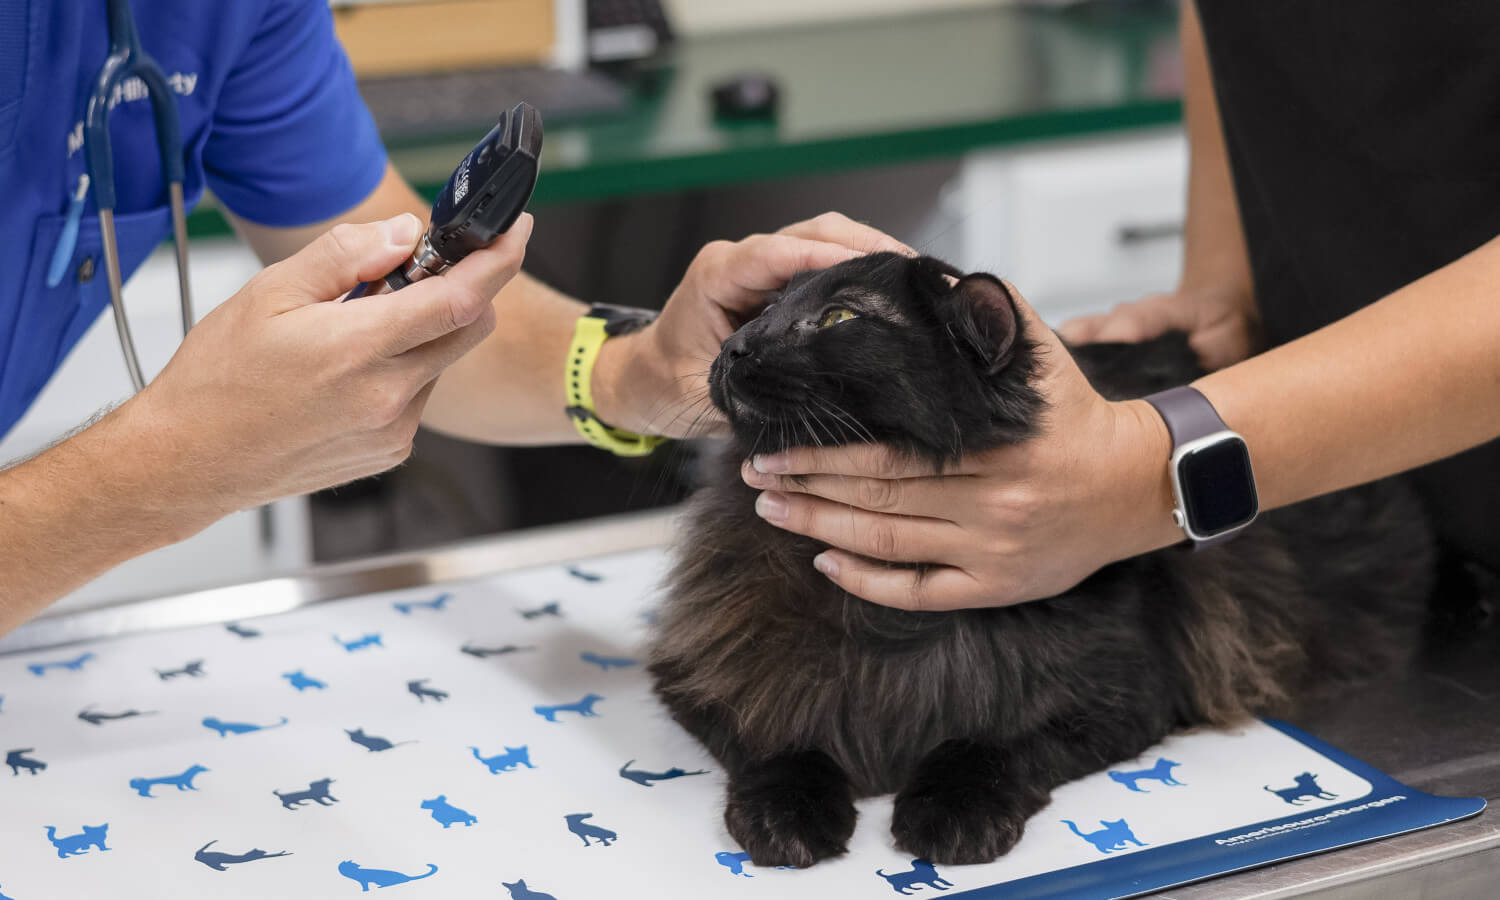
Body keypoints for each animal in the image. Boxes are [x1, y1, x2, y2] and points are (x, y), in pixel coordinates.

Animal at [648, 249, 1428, 870]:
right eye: (765, 310)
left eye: (839, 318)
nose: (734, 347)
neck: (884, 618)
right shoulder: (705, 673)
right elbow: (777, 737)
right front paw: (787, 816)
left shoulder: (1116, 696)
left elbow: (990, 745)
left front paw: (952, 814)